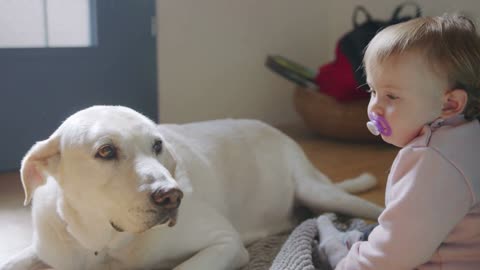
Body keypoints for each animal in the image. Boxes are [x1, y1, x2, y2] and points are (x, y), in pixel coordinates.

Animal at [0, 106, 382, 270]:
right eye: (105, 151)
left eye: (157, 145)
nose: (171, 196)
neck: (104, 243)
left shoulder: (225, 243)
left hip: (316, 190)